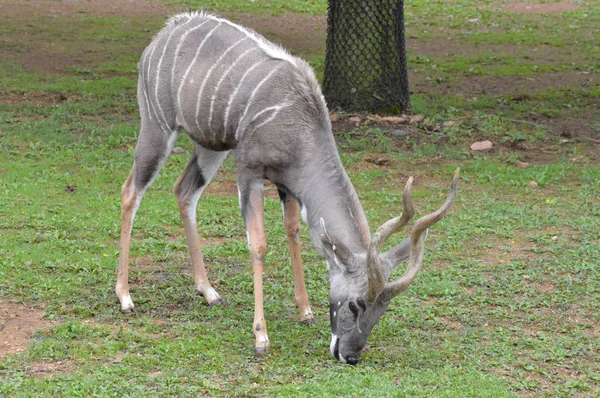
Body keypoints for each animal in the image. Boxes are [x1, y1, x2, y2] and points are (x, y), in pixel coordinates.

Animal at [117, 10, 460, 364]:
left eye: (382, 310)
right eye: (355, 304)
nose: (350, 356)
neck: (301, 123)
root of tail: (165, 32)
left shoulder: (288, 184)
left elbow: (293, 231)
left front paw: (305, 311)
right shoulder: (249, 170)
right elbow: (258, 244)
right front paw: (261, 337)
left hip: (211, 145)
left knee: (184, 192)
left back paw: (208, 291)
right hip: (158, 128)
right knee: (131, 192)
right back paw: (126, 298)